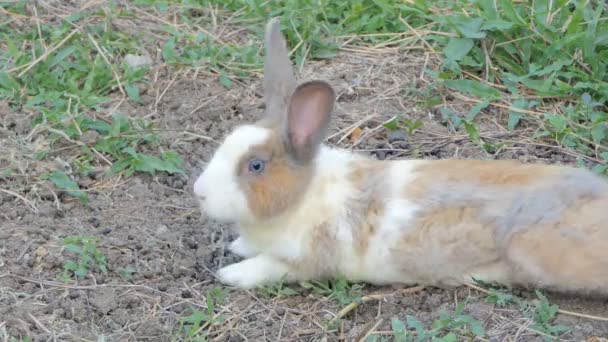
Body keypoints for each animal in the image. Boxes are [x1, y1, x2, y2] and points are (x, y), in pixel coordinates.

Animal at [194, 17, 608, 292]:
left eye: (256, 165)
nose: (198, 193)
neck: (304, 195)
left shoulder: (307, 259)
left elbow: (267, 268)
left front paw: (230, 274)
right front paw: (237, 246)